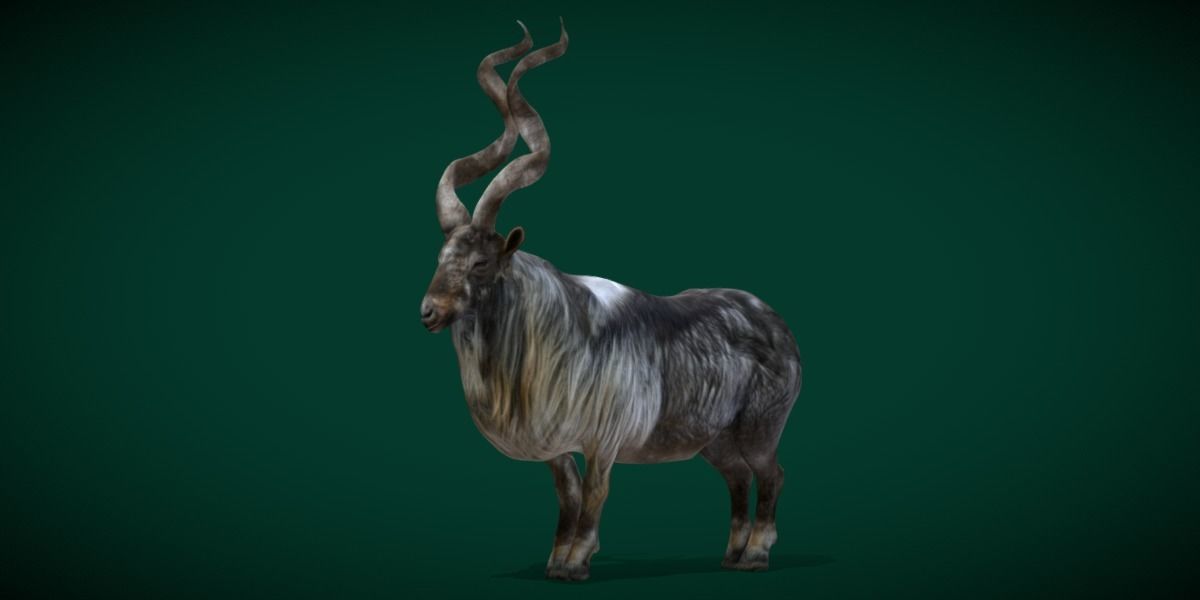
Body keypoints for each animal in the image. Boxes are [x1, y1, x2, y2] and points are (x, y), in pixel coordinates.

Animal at [419, 21, 802, 581]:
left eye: (482, 263)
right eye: (442, 255)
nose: (429, 312)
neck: (558, 331)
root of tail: (779, 326)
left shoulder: (605, 437)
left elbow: (596, 492)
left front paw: (577, 562)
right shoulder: (558, 445)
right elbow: (568, 493)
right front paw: (556, 561)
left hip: (759, 426)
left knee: (771, 473)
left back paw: (755, 554)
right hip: (714, 439)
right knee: (736, 476)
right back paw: (730, 555)